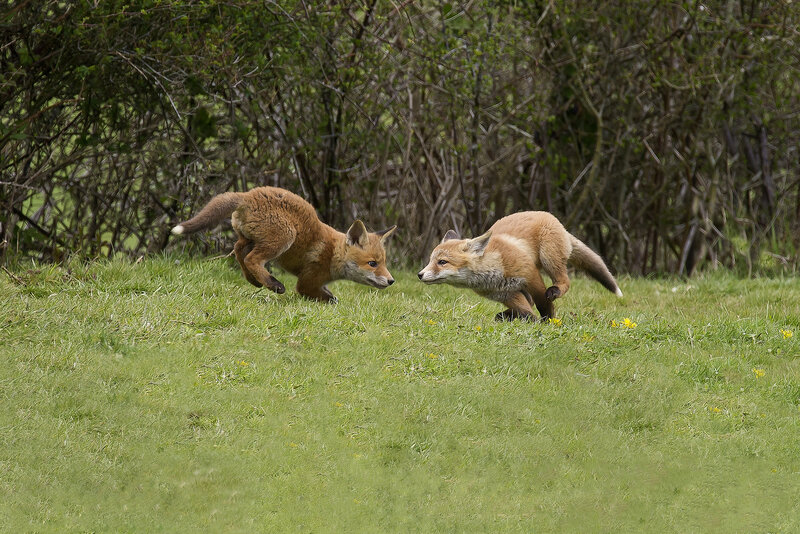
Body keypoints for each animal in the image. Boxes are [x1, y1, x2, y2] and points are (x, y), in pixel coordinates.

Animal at [171, 186, 396, 303]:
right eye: (373, 264)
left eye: (384, 262)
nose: (391, 281)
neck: (334, 254)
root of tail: (248, 194)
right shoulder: (307, 283)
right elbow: (326, 297)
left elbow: (329, 293)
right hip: (284, 237)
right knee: (252, 259)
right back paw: (273, 284)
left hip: (250, 238)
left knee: (238, 250)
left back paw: (254, 280)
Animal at [417, 211, 623, 321]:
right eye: (430, 260)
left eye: (442, 262)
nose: (420, 274)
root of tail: (553, 218)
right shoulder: (506, 294)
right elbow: (526, 310)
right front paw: (530, 320)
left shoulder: (531, 277)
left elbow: (543, 305)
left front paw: (548, 322)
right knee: (527, 303)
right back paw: (507, 316)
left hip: (549, 258)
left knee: (564, 281)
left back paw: (554, 291)